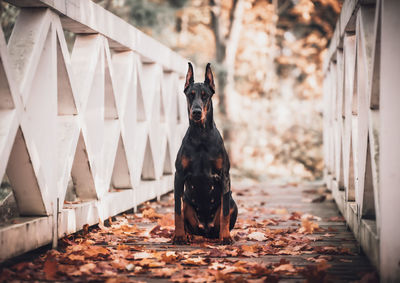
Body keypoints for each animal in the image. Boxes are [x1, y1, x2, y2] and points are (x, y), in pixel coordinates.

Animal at [173, 63, 238, 245]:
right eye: (190, 95)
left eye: (205, 96)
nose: (196, 112)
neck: (201, 136)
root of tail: (206, 230)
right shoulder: (179, 175)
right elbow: (177, 211)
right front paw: (178, 236)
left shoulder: (224, 176)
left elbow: (224, 214)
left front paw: (226, 237)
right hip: (187, 202)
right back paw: (188, 235)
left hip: (233, 202)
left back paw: (221, 235)